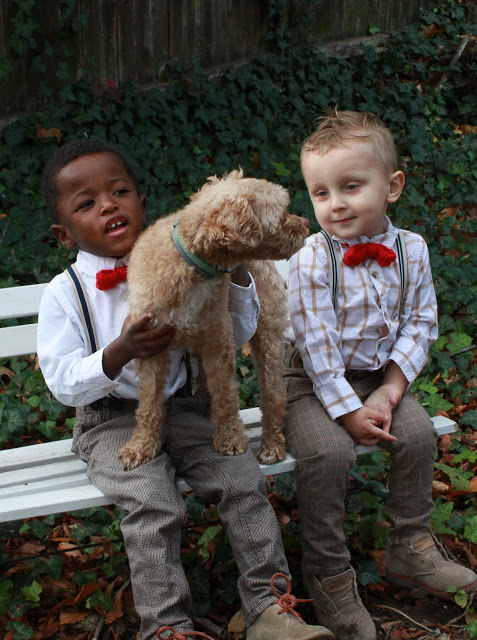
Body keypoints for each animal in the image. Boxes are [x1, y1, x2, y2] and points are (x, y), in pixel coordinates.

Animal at [119, 170, 308, 470]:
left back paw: (271, 445)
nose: (306, 224)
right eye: (280, 215)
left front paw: (230, 439)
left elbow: (227, 396)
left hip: (267, 335)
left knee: (274, 396)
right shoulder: (150, 348)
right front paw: (142, 446)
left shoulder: (219, 342)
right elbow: (148, 402)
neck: (191, 265)